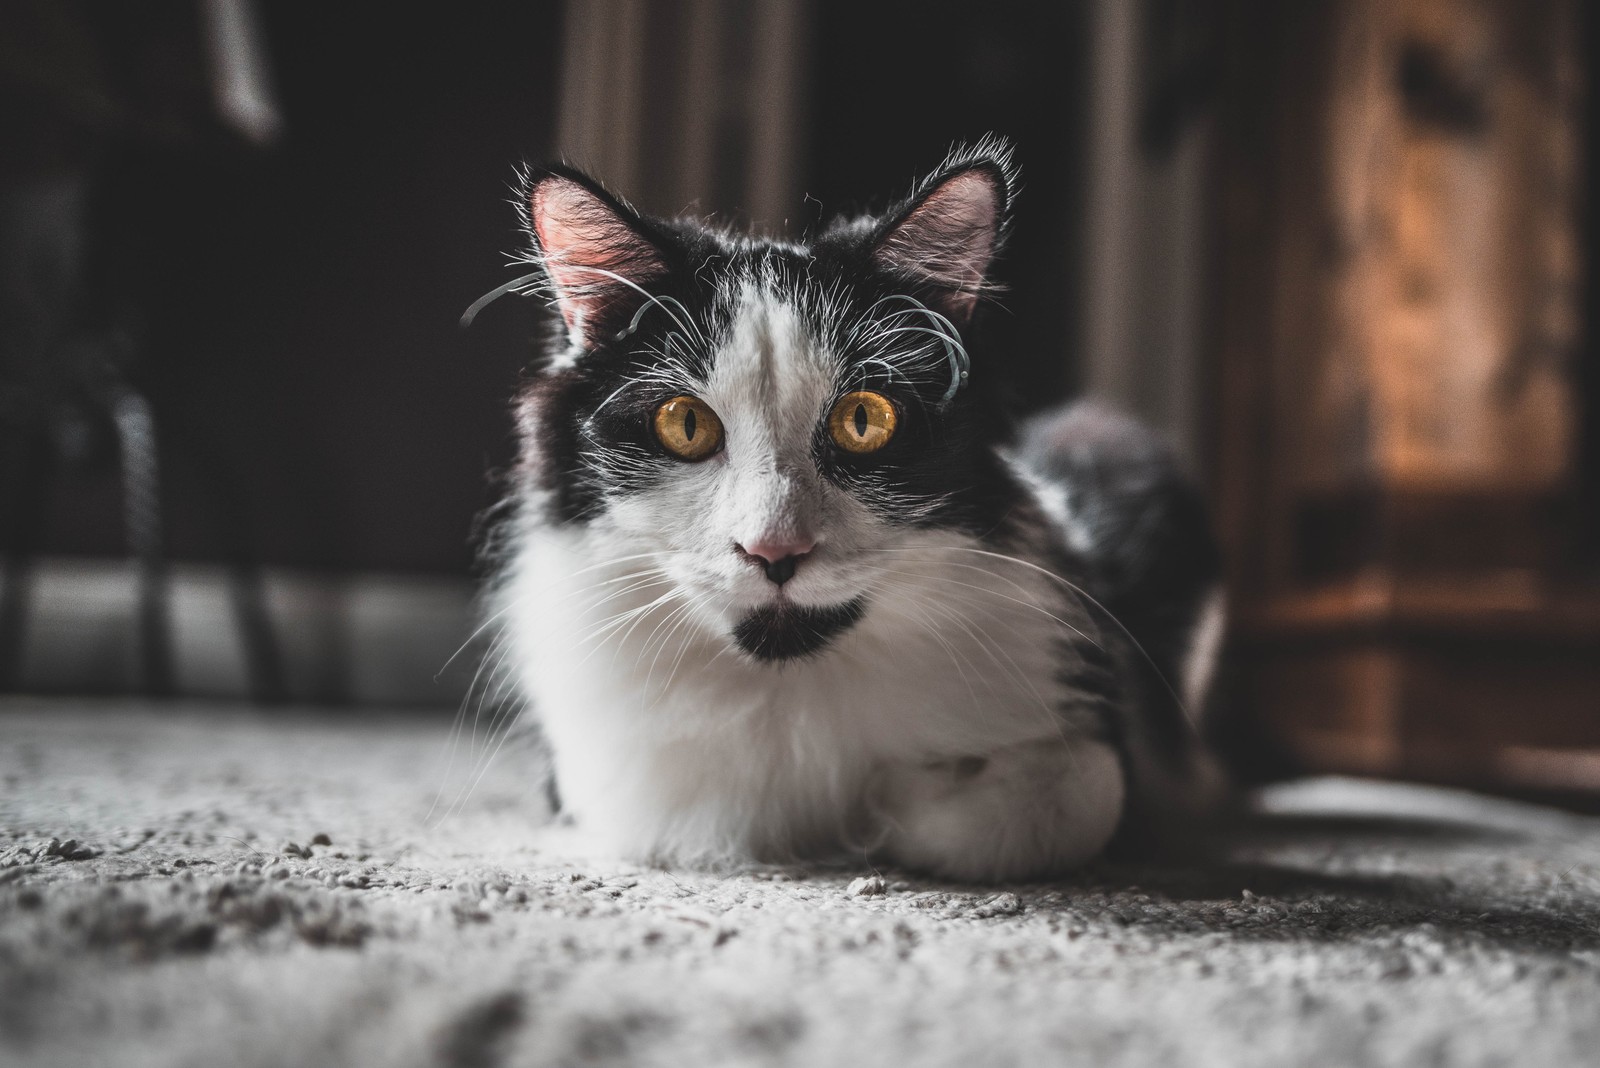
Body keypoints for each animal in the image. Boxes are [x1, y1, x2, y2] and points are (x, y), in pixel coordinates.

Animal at [486, 137, 1222, 882]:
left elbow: (1065, 801)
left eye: (864, 422)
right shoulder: (599, 784)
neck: (793, 698)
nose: (774, 551)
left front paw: (889, 808)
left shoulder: (1093, 722)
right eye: (684, 426)